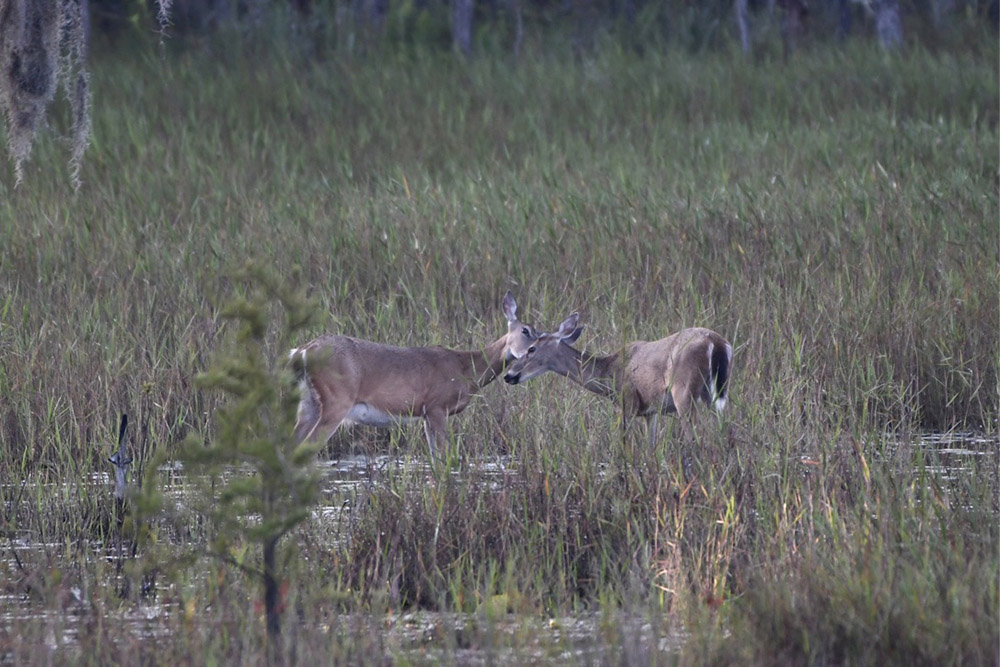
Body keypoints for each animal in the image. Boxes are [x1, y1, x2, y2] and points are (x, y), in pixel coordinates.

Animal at [288, 292, 541, 455]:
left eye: (542, 333)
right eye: (525, 330)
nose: (533, 350)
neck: (466, 368)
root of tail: (302, 351)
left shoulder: (426, 414)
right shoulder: (437, 407)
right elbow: (445, 457)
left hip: (308, 404)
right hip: (336, 401)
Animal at [503, 312, 732, 449]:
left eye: (531, 348)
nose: (508, 375)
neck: (609, 373)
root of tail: (716, 342)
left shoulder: (627, 402)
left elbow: (624, 442)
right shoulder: (650, 411)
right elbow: (650, 447)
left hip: (683, 391)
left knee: (695, 436)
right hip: (715, 393)